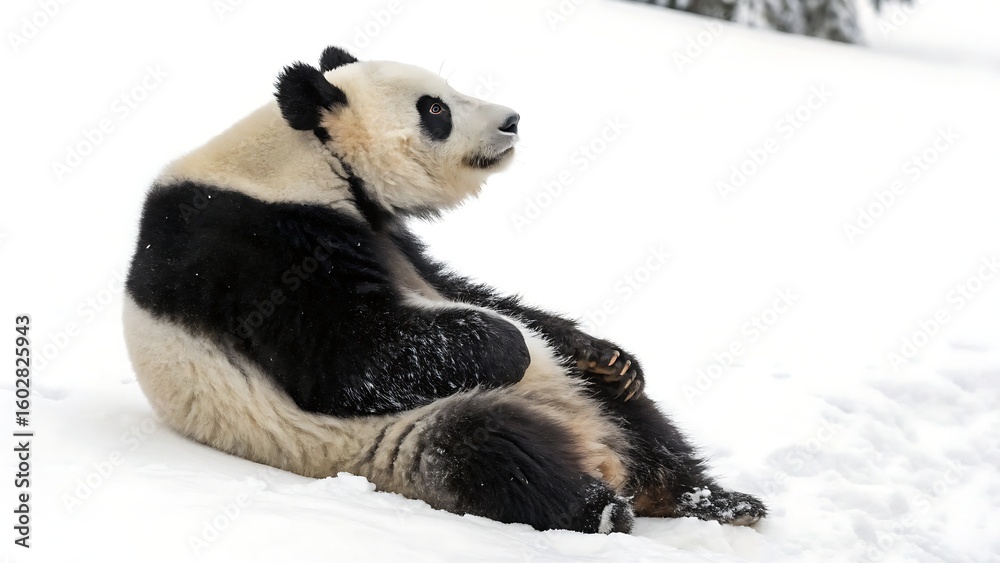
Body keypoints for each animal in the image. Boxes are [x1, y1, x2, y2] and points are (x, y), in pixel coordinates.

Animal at [123, 45, 766, 535]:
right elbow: (347, 357)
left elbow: (453, 285)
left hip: (588, 406)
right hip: (398, 440)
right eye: (434, 109)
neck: (313, 160)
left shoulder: (389, 235)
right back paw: (603, 509)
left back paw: (711, 499)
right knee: (494, 454)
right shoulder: (251, 249)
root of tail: (597, 450)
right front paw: (512, 346)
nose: (512, 121)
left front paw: (604, 353)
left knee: (641, 422)